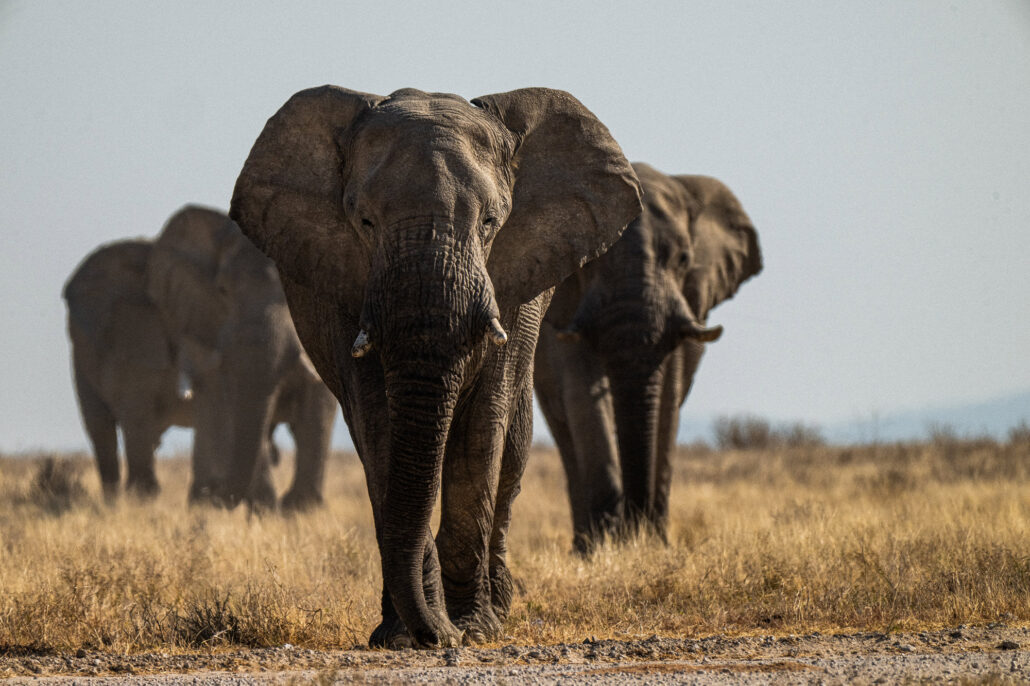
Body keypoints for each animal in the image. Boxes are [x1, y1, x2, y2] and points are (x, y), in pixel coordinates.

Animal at [145, 205, 338, 510]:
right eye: (223, 290)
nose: (216, 492)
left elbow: (316, 405)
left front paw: (300, 510)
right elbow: (236, 406)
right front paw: (265, 508)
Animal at [229, 86, 641, 648]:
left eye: (490, 222)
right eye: (364, 222)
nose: (443, 639)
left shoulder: (512, 288)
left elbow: (480, 432)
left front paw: (472, 627)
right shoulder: (346, 289)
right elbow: (380, 429)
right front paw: (408, 634)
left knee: (511, 448)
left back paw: (495, 608)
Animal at [534, 163, 763, 553]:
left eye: (684, 259)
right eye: (588, 263)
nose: (632, 528)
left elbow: (667, 395)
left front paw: (651, 543)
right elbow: (582, 393)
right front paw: (606, 546)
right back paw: (585, 545)